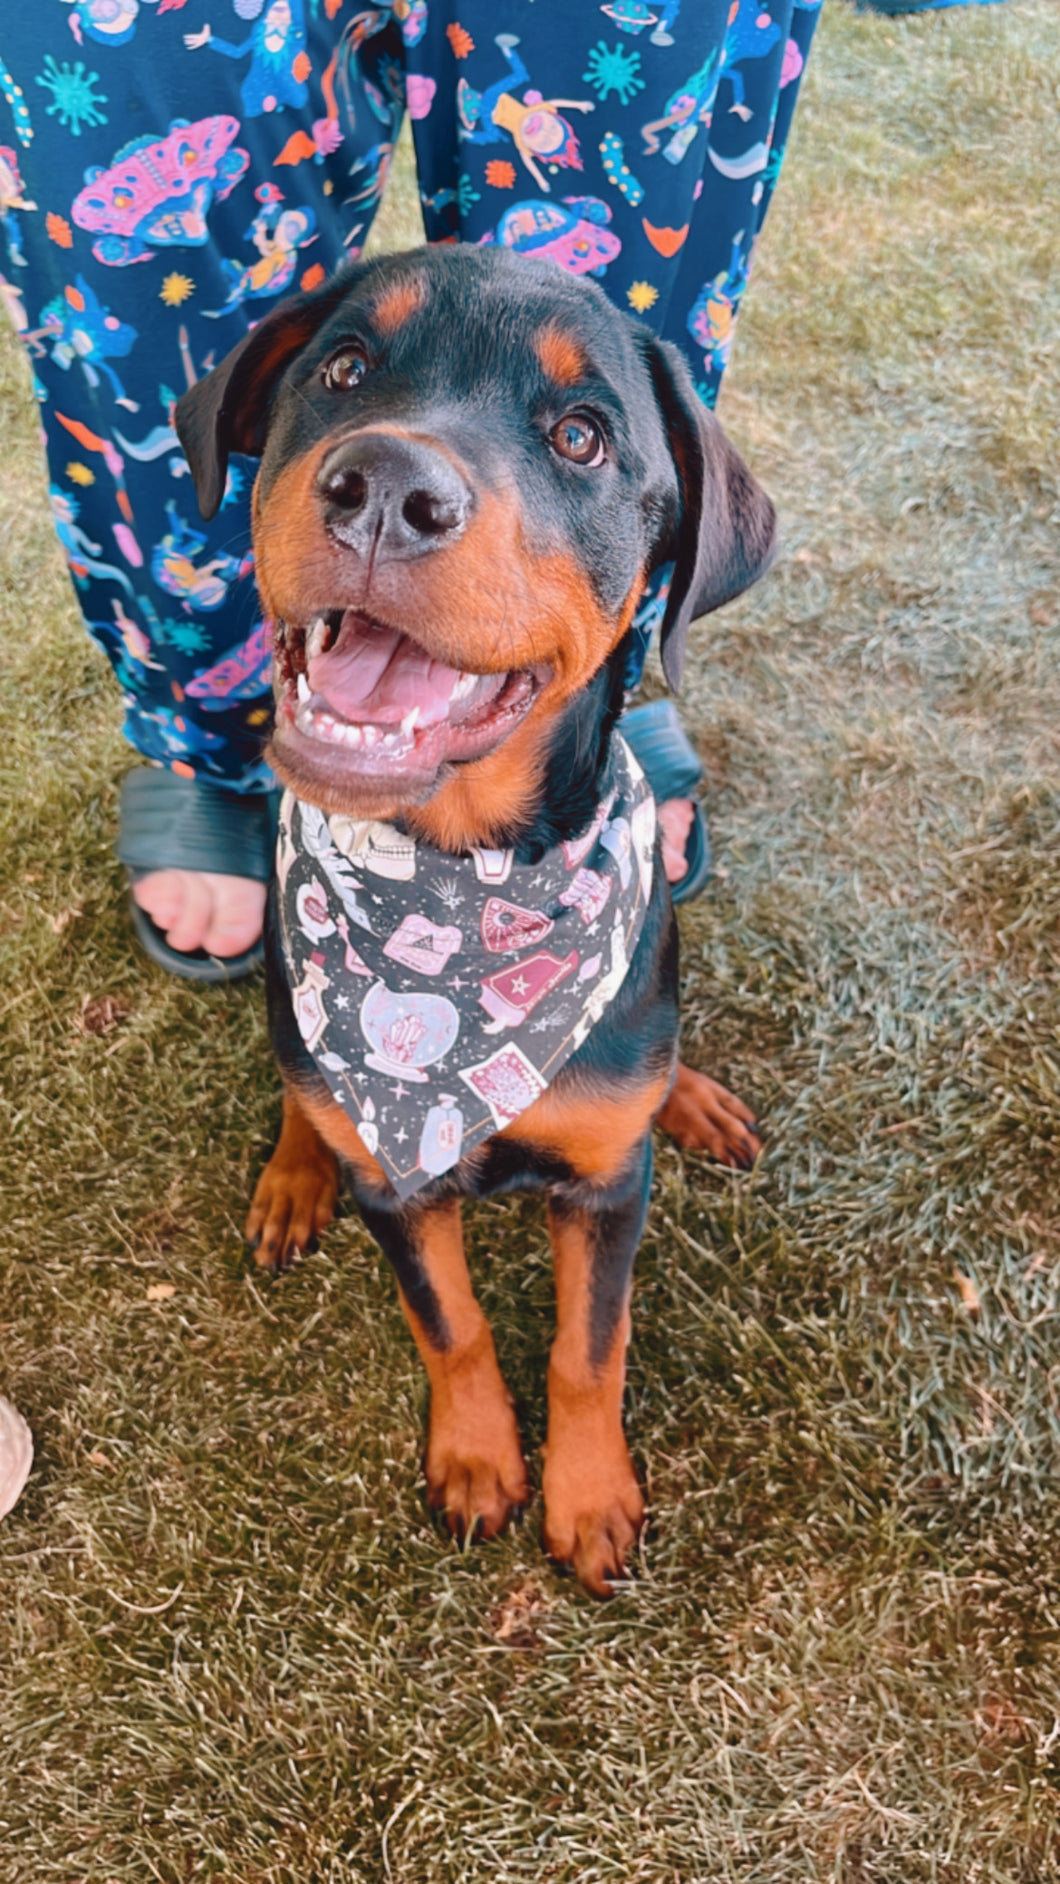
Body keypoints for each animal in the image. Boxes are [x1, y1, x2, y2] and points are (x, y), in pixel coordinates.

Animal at [176, 243, 779, 1597]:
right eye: (344, 368)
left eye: (581, 436)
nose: (383, 491)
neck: (459, 895)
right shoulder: (399, 1191)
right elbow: (446, 1322)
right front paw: (476, 1460)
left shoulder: (608, 1186)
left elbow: (589, 1348)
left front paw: (590, 1497)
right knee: (298, 1077)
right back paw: (295, 1172)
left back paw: (693, 1096)